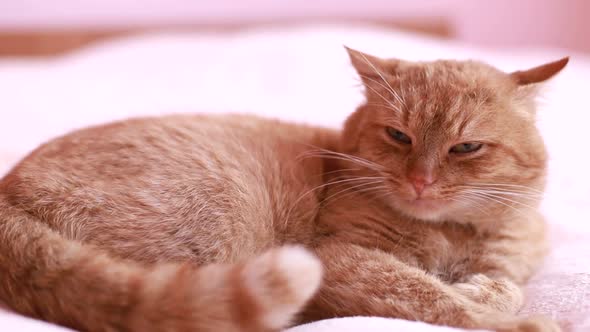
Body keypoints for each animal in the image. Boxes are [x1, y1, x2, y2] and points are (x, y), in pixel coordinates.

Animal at [0, 47, 568, 332]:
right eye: (398, 136)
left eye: (465, 148)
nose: (420, 180)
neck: (450, 233)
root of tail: (8, 196)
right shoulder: (338, 259)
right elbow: (428, 293)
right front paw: (509, 318)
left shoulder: (513, 259)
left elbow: (507, 285)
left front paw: (486, 288)